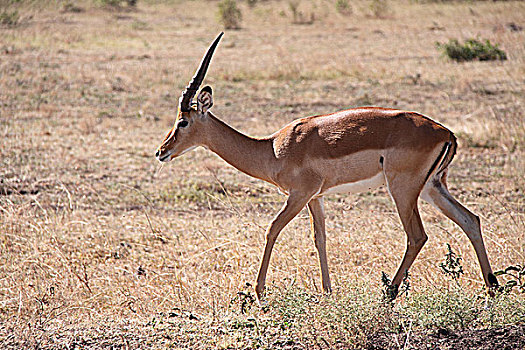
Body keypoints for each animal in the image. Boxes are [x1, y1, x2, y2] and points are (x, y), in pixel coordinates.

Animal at [155, 32, 496, 300]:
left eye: (183, 121)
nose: (161, 151)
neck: (273, 149)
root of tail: (446, 132)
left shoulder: (299, 195)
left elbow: (272, 229)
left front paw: (259, 291)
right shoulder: (315, 197)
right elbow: (320, 238)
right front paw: (328, 291)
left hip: (403, 190)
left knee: (418, 236)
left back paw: (389, 292)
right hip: (431, 187)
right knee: (470, 220)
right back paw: (492, 288)